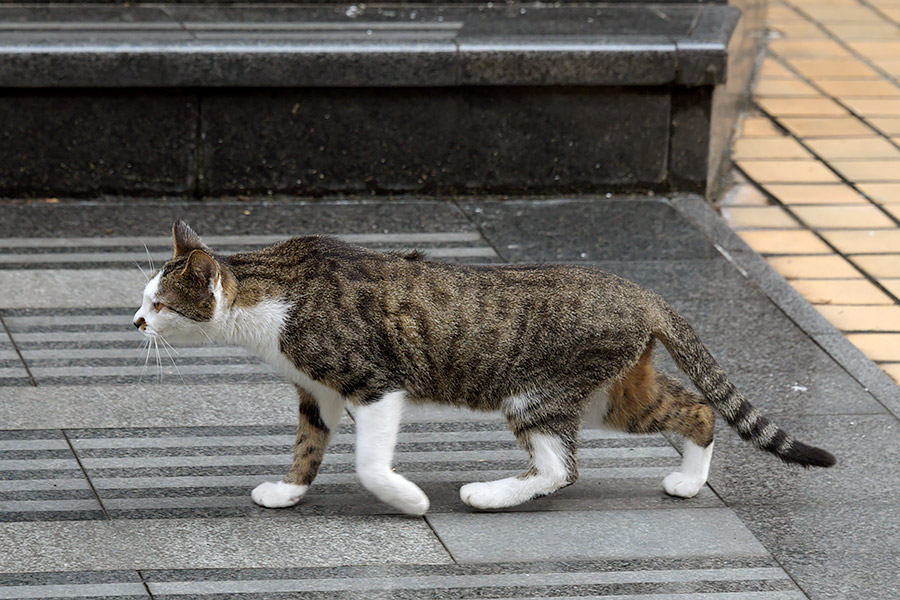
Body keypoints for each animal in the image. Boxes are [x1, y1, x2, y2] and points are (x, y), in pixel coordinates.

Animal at [134, 223, 836, 512]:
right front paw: (287, 492)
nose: (136, 321)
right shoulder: (317, 394)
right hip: (610, 395)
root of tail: (638, 291)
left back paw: (489, 495)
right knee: (694, 409)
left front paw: (408, 500)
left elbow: (368, 462)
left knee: (560, 470)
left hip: (536, 395)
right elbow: (308, 448)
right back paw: (689, 482)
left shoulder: (374, 383)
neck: (274, 290)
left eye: (160, 302)